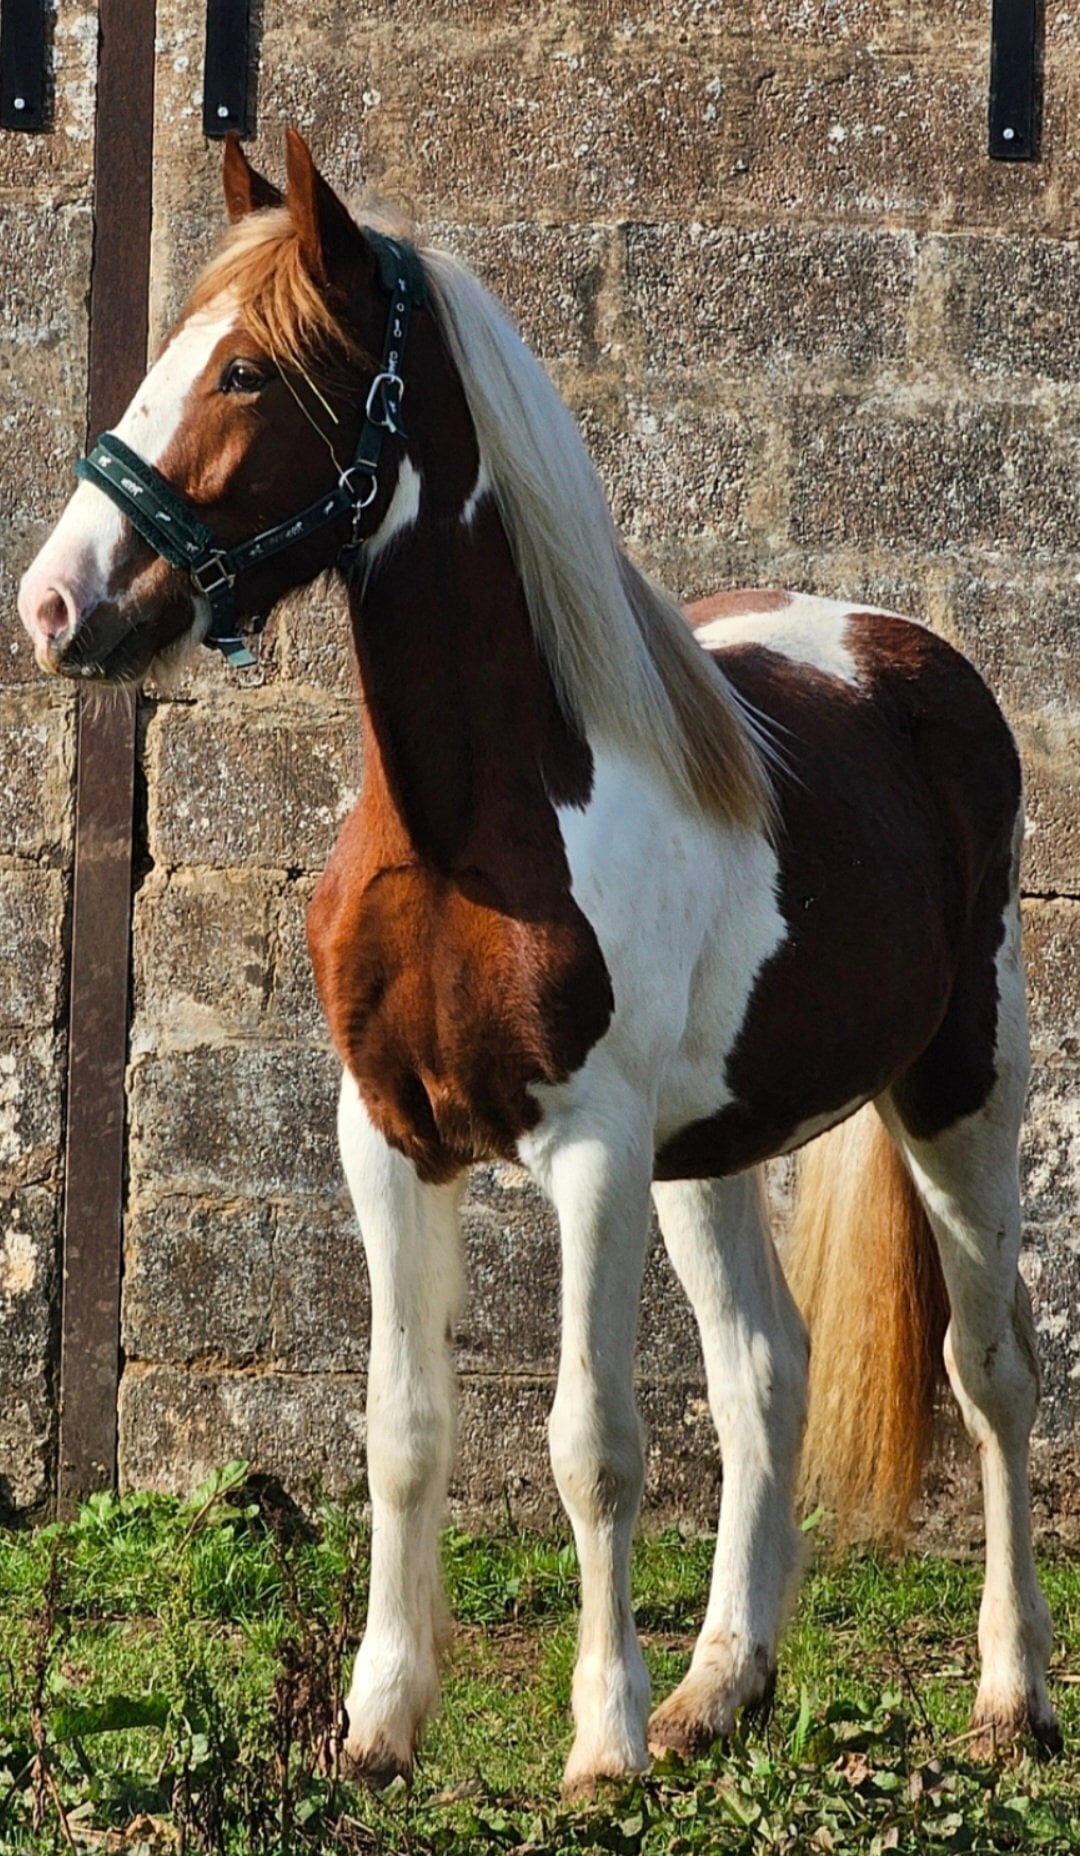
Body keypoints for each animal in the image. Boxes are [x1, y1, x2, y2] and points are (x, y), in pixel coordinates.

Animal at [18, 129, 1058, 1796]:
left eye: (243, 370)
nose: (58, 606)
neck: (477, 826)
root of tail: (910, 650)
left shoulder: (589, 1153)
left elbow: (593, 1446)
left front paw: (603, 1741)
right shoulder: (387, 1139)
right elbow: (403, 1427)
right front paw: (379, 1724)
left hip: (965, 1085)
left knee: (993, 1371)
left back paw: (1011, 1695)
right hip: (711, 1151)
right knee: (765, 1374)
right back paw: (722, 1689)